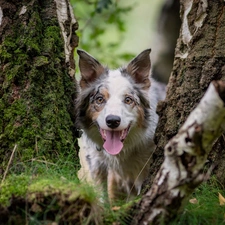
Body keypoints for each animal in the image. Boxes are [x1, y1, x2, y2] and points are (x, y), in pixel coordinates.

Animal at [75, 48, 165, 201]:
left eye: (128, 100)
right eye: (100, 99)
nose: (112, 121)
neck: (121, 152)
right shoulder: (96, 161)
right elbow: (102, 193)